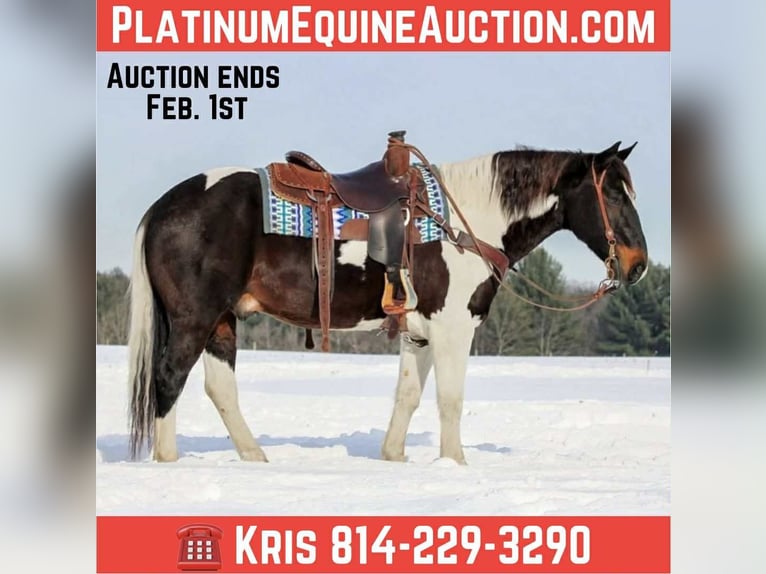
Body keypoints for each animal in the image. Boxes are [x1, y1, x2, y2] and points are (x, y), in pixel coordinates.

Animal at [126, 139, 648, 464]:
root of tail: (163, 207)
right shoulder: (452, 328)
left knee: (220, 388)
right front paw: (454, 462)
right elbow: (450, 399)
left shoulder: (418, 335)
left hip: (221, 321)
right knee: (169, 378)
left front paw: (394, 456)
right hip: (195, 318)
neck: (464, 223)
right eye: (613, 195)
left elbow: (408, 395)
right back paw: (169, 459)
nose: (638, 265)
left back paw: (255, 456)